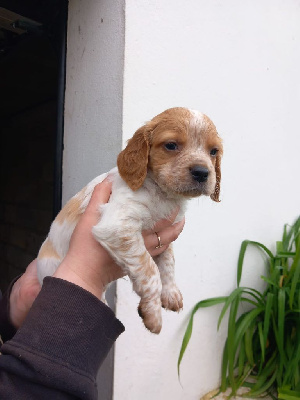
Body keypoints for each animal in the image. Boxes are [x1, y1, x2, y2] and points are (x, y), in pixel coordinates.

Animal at [37, 107, 223, 334]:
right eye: (171, 145)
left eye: (213, 151)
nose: (202, 172)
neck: (162, 195)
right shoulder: (119, 225)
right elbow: (151, 271)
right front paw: (152, 313)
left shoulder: (164, 234)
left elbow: (168, 261)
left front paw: (171, 293)